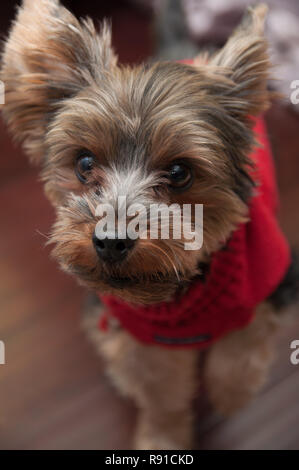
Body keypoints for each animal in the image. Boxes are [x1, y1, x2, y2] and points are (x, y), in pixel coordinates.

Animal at [1, 0, 298, 450]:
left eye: (179, 172)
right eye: (84, 163)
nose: (110, 241)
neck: (178, 294)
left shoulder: (272, 284)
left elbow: (240, 350)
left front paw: (229, 397)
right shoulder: (139, 337)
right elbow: (161, 393)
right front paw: (164, 437)